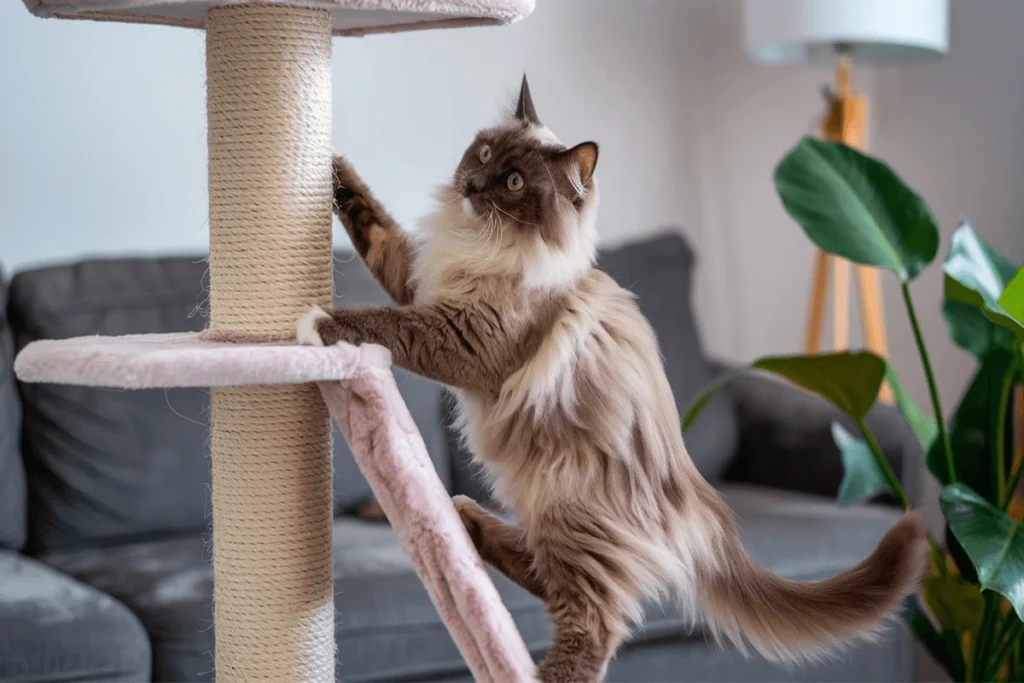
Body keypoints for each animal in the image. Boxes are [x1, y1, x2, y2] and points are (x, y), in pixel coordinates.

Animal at [296, 76, 929, 683]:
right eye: (484, 154)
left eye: (515, 183)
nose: (473, 187)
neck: (484, 246)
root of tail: (697, 492)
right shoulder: (421, 279)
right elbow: (375, 226)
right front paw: (330, 166)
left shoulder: (461, 335)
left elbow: (382, 325)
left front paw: (316, 324)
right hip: (554, 521)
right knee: (547, 577)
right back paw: (463, 519)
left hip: (571, 518)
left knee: (595, 623)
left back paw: (528, 661)